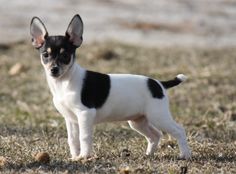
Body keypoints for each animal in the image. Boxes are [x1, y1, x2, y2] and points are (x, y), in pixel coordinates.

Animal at [30, 14, 191, 160]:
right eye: (45, 55)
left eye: (65, 56)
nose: (54, 70)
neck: (64, 82)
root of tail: (159, 84)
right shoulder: (70, 119)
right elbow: (72, 140)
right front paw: (75, 157)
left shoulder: (85, 114)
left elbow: (84, 137)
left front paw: (84, 156)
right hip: (138, 121)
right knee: (155, 135)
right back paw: (149, 154)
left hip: (158, 116)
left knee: (179, 130)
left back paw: (185, 155)